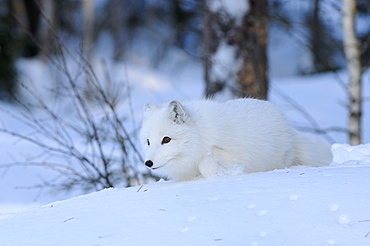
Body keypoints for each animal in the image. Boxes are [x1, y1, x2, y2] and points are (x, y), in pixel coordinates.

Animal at [141, 98, 332, 181]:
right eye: (148, 142)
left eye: (166, 140)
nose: (148, 163)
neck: (200, 134)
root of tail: (290, 127)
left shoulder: (232, 152)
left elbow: (207, 163)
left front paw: (225, 173)